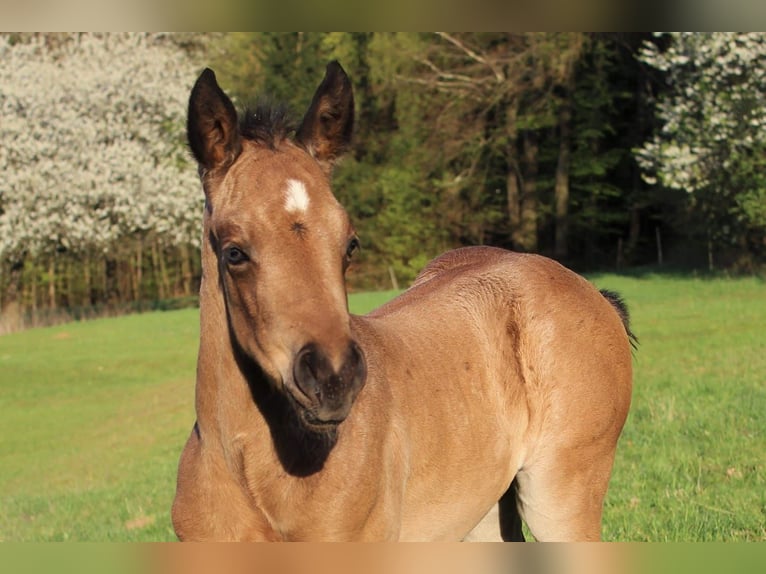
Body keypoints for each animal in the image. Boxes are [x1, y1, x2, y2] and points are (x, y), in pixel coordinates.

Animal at [171, 61, 635, 541]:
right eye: (234, 253)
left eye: (349, 243)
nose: (333, 380)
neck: (250, 470)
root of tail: (593, 293)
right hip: (480, 512)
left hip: (559, 499)